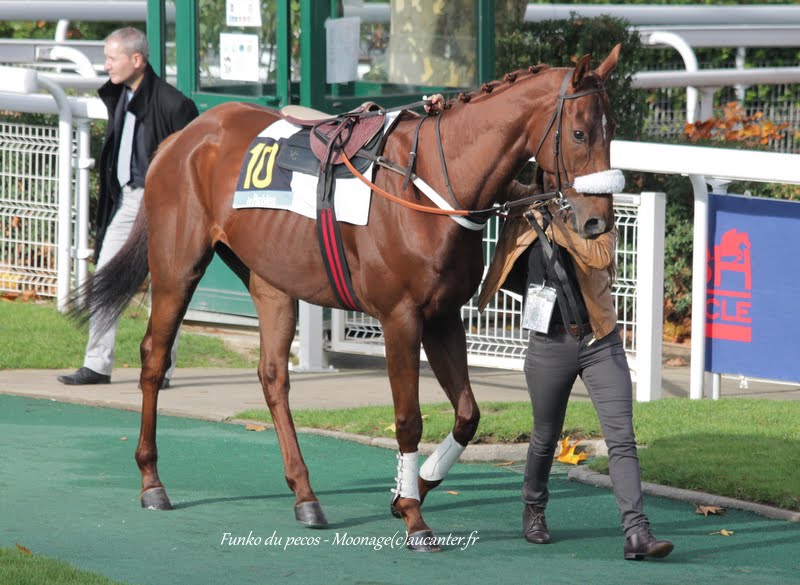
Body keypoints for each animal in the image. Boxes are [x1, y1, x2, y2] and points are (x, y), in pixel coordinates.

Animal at [75, 45, 620, 552]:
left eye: (611, 132)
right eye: (579, 134)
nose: (597, 221)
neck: (431, 184)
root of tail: (182, 137)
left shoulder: (443, 316)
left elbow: (468, 415)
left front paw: (411, 489)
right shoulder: (401, 318)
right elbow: (408, 419)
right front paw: (414, 517)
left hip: (270, 280)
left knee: (273, 377)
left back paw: (305, 495)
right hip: (178, 267)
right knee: (153, 358)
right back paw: (152, 481)